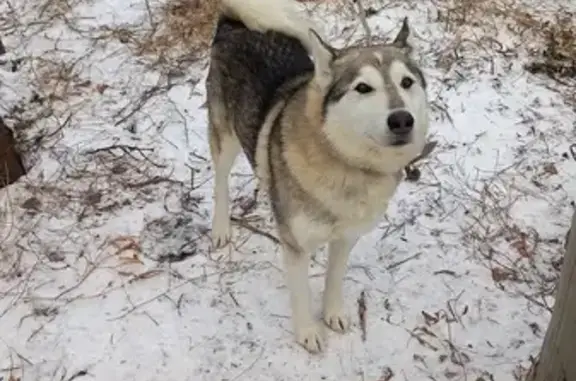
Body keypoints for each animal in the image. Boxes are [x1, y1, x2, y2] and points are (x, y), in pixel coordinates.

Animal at [205, 0, 430, 354]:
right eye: (363, 88)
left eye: (407, 82)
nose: (401, 120)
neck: (345, 163)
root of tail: (233, 22)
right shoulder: (296, 246)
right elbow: (301, 293)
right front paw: (308, 332)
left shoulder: (346, 238)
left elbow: (333, 278)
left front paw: (333, 313)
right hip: (225, 138)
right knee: (220, 180)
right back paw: (220, 228)